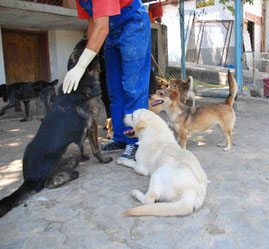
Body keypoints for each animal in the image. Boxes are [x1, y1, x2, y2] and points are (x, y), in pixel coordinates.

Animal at [0, 39, 112, 218]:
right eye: (87, 44)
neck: (81, 79)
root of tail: (30, 179)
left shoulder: (84, 129)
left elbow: (84, 144)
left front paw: (84, 156)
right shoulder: (93, 124)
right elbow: (96, 147)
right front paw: (103, 160)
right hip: (70, 147)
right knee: (50, 183)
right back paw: (72, 173)